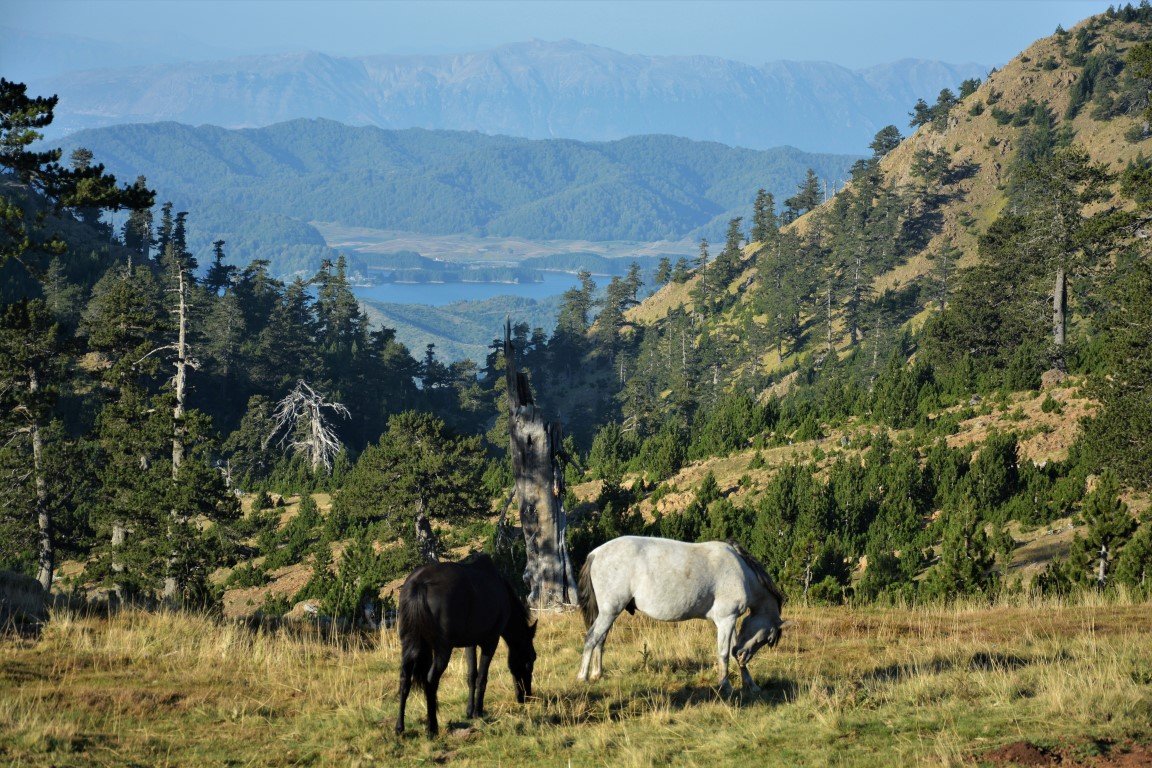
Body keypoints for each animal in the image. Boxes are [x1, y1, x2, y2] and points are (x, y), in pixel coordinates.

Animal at [393, 552, 536, 736]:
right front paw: (478, 711)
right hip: (442, 649)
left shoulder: (470, 643)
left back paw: (399, 727)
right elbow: (482, 677)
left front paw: (469, 711)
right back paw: (432, 727)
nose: (527, 696)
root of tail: (419, 583)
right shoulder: (491, 641)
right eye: (531, 658)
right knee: (430, 681)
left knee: (404, 680)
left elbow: (471, 676)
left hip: (409, 645)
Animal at [573, 538, 783, 695]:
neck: (741, 572)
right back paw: (582, 677)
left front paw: (751, 685)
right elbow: (724, 653)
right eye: (766, 639)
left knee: (600, 640)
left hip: (608, 613)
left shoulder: (728, 622)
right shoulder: (727, 619)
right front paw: (725, 685)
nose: (743, 657)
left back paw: (597, 674)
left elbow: (729, 650)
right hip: (610, 612)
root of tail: (595, 553)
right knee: (592, 638)